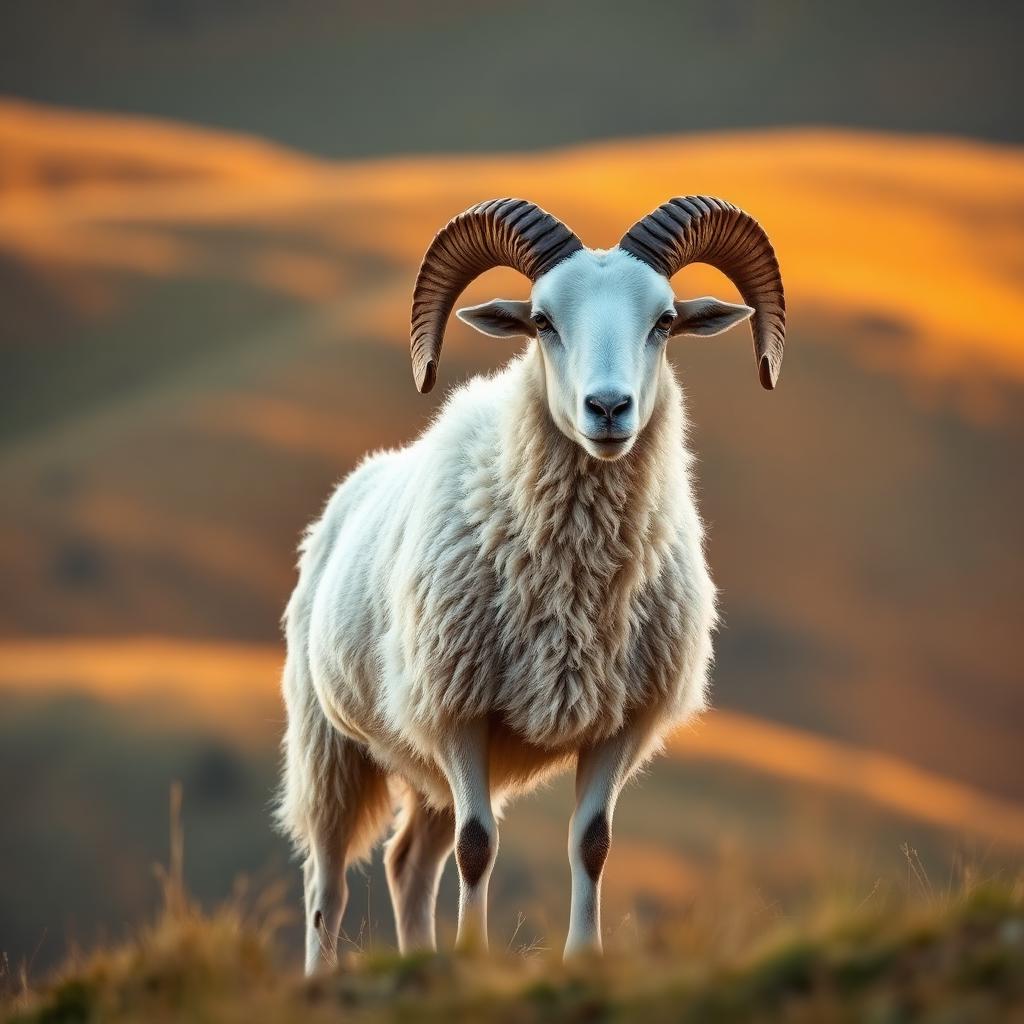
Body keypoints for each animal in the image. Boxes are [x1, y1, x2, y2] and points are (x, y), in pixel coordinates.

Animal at [276, 196, 786, 973]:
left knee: (407, 864)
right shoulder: (459, 708)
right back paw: (320, 975)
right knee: (325, 883)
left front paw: (580, 959)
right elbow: (477, 846)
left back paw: (426, 964)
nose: (608, 409)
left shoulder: (622, 718)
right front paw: (474, 955)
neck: (573, 585)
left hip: (418, 756)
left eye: (664, 321)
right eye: (543, 321)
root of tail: (350, 491)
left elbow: (593, 844)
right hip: (327, 741)